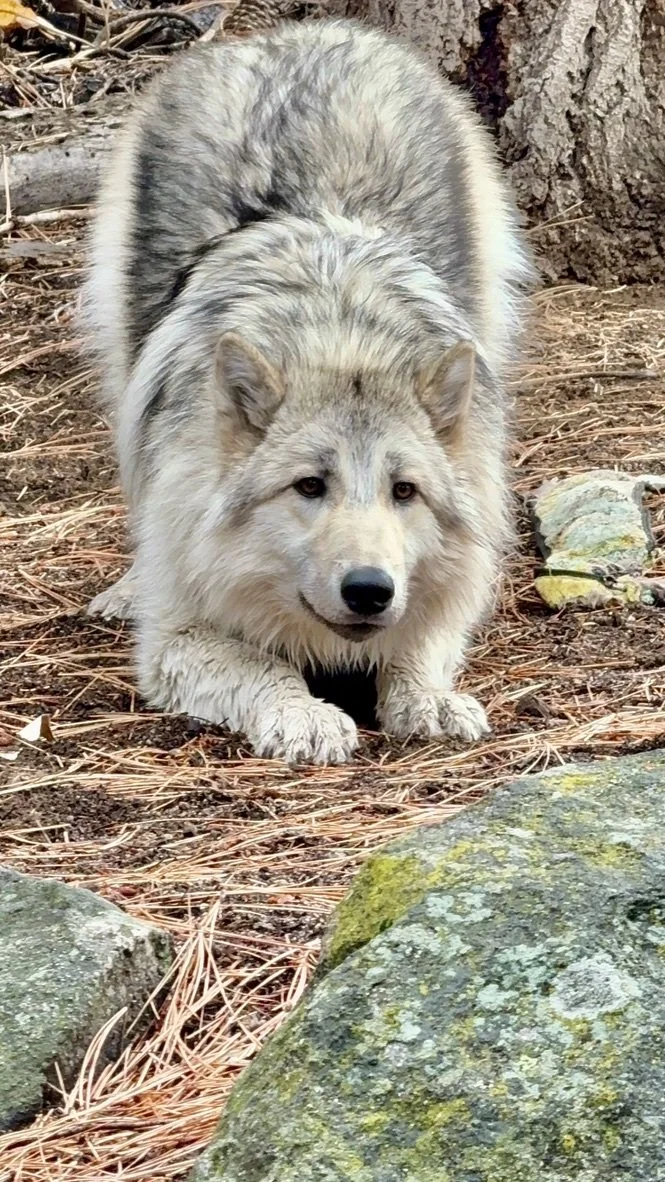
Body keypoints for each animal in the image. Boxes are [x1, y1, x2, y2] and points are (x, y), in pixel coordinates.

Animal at [84, 18, 532, 763]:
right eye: (309, 486)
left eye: (404, 491)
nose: (370, 590)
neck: (337, 330)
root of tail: (286, 36)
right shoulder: (177, 638)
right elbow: (263, 665)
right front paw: (304, 717)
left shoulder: (449, 588)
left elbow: (421, 643)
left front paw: (427, 699)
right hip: (126, 373)